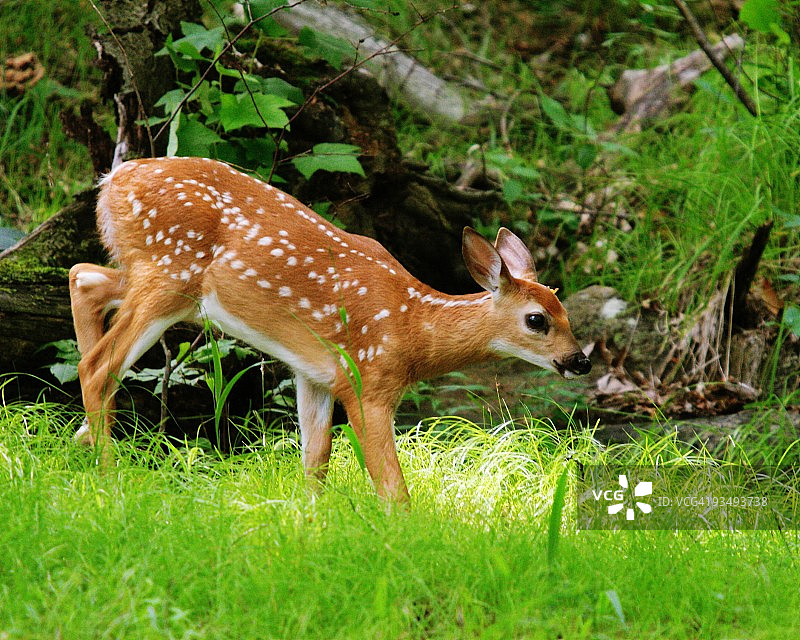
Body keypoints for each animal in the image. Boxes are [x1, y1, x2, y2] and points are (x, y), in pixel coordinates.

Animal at [69, 156, 591, 501]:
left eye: (566, 312)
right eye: (537, 320)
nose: (580, 361)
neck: (412, 328)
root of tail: (111, 181)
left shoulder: (315, 375)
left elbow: (315, 464)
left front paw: (309, 526)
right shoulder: (368, 384)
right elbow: (392, 489)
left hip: (154, 275)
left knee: (82, 276)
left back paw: (80, 442)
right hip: (169, 273)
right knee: (97, 366)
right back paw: (108, 478)